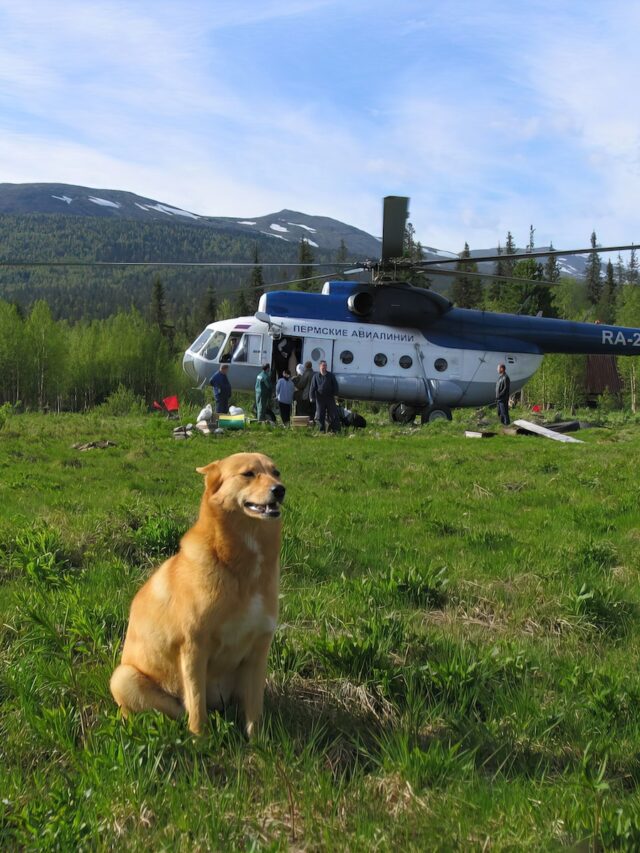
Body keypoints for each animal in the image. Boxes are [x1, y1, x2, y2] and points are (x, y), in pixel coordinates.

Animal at [110, 450, 284, 736]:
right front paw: (201, 740)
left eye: (276, 472)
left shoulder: (259, 650)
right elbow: (197, 706)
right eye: (248, 473)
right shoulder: (194, 648)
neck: (238, 566)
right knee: (175, 711)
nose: (280, 490)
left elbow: (254, 712)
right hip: (123, 678)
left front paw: (257, 741)